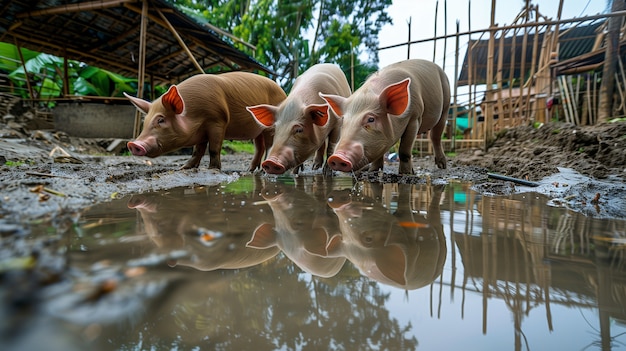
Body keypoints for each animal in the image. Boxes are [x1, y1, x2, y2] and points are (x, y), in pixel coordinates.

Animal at [122, 72, 288, 171]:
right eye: (145, 122)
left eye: (161, 120)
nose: (133, 144)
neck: (193, 114)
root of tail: (283, 92)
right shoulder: (201, 132)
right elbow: (198, 150)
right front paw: (184, 168)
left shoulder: (218, 121)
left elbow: (213, 148)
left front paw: (213, 169)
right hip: (257, 130)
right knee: (259, 147)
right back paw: (249, 171)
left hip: (270, 126)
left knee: (268, 145)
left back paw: (262, 171)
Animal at [316, 59, 448, 175]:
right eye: (343, 121)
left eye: (371, 119)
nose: (337, 157)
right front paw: (372, 171)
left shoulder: (415, 117)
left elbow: (404, 150)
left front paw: (406, 173)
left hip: (445, 105)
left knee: (436, 136)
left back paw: (442, 166)